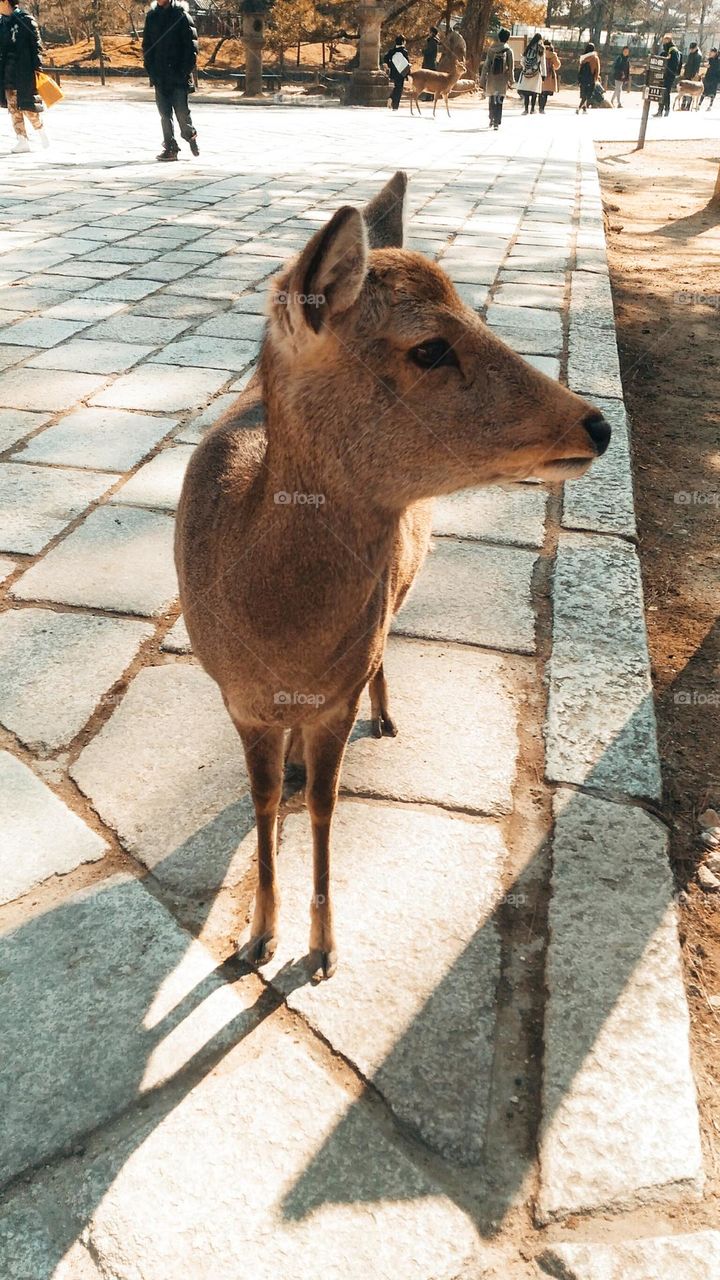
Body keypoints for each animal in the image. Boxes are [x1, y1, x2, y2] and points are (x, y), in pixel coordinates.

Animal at [175, 171, 611, 983]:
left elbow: (325, 807)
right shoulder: (235, 698)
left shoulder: (334, 699)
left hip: (398, 601)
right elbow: (261, 803)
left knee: (386, 650)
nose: (596, 424)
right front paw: (256, 939)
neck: (276, 638)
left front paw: (321, 950)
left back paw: (388, 714)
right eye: (430, 346)